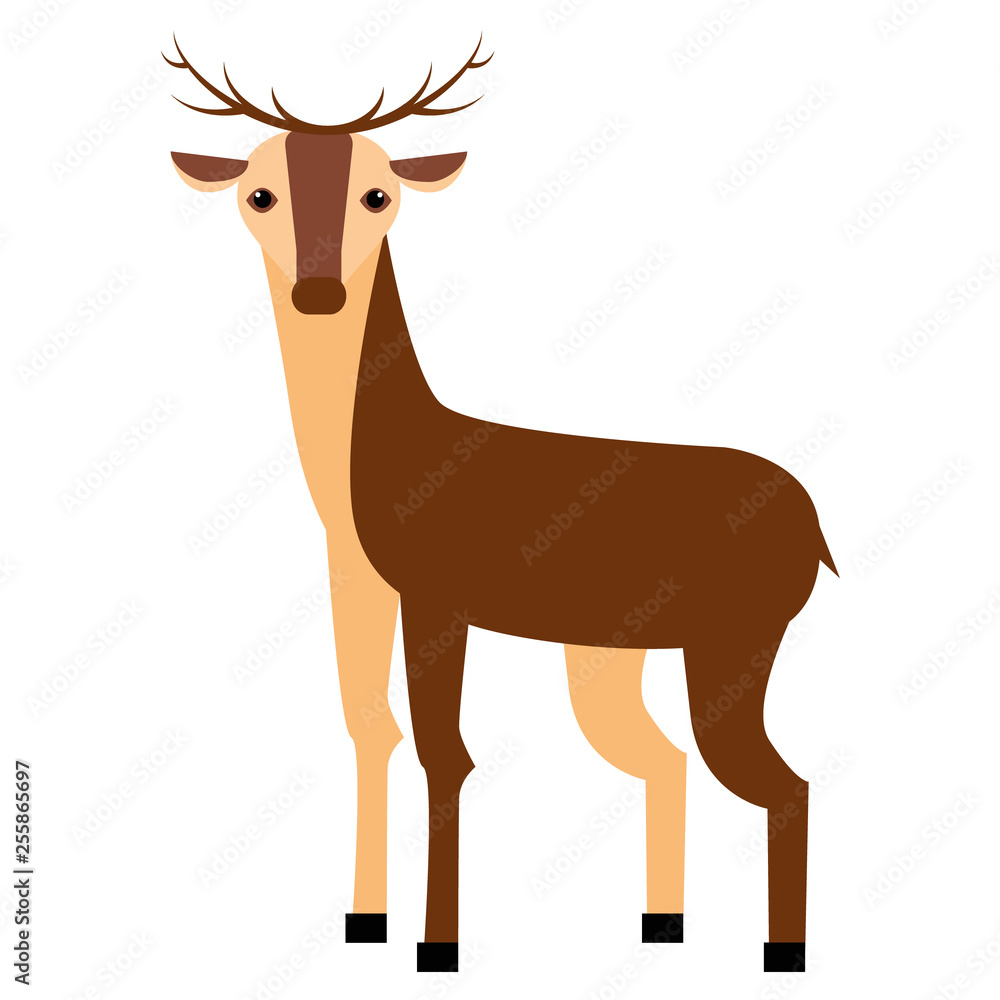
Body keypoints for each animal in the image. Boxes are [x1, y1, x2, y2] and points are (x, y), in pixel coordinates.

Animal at [165, 36, 836, 975]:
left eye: (380, 193)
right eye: (259, 193)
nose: (319, 290)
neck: (389, 456)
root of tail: (814, 523)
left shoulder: (437, 597)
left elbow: (446, 754)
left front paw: (436, 946)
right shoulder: (359, 586)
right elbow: (370, 726)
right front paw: (363, 923)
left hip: (734, 646)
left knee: (784, 780)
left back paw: (781, 954)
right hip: (614, 662)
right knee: (668, 759)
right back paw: (659, 928)